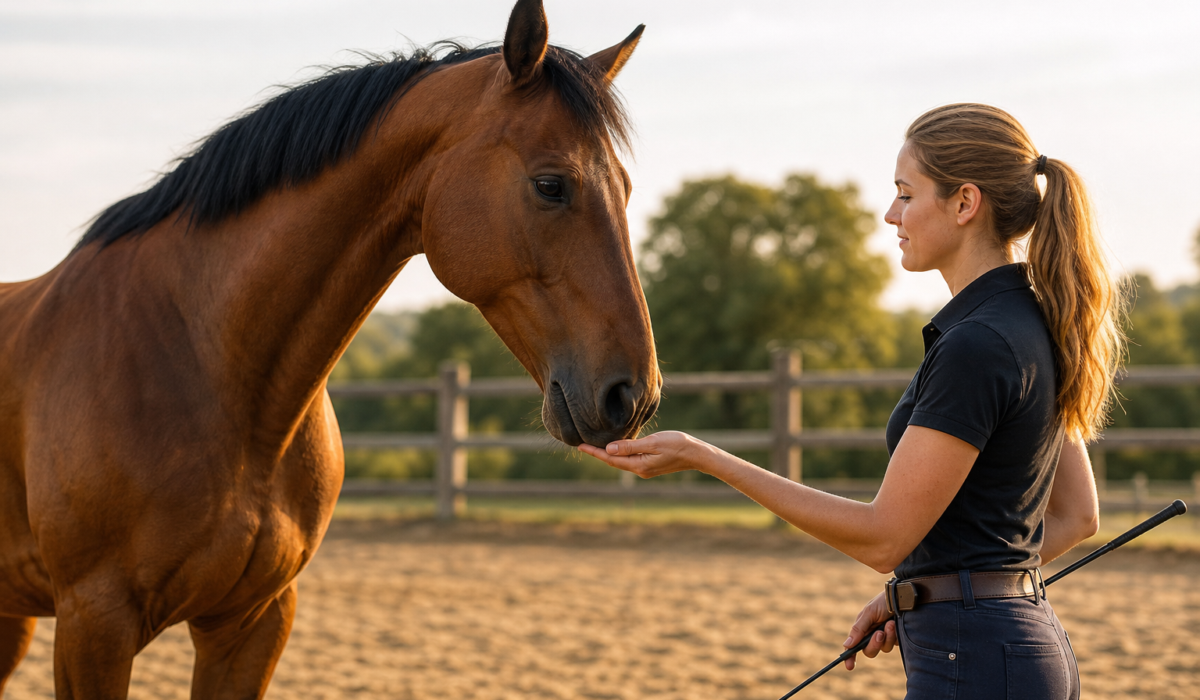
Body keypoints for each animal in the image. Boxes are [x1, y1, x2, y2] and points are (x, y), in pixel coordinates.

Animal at [0, 1, 659, 696]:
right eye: (551, 185)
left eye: (624, 188)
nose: (633, 396)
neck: (197, 359)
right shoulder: (94, 624)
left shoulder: (252, 621)